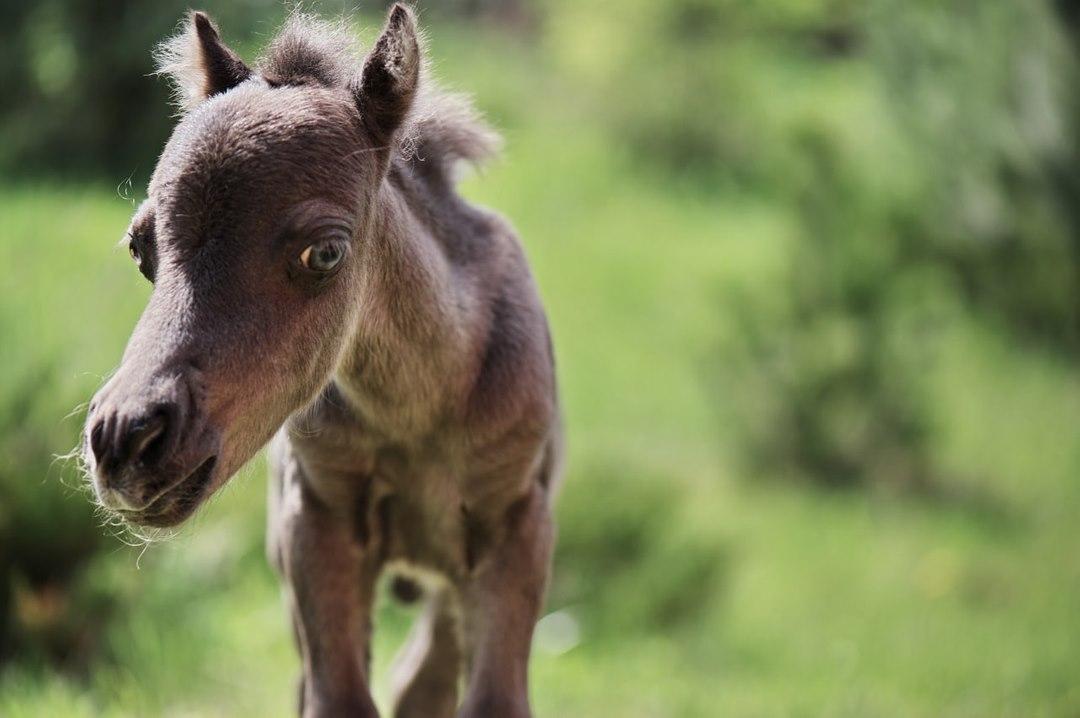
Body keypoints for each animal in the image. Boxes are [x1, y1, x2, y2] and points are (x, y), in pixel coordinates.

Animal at [79, 7, 561, 716]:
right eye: (142, 248)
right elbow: (337, 697)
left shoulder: (517, 522)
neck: (417, 413)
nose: (125, 438)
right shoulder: (315, 520)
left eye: (325, 253)